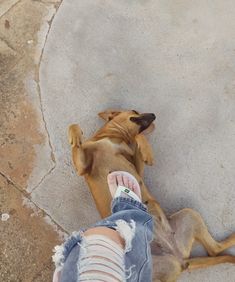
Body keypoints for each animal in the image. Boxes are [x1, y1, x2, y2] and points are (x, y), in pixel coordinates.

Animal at [68, 109, 235, 282]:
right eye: (135, 111)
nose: (154, 115)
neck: (114, 137)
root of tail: (179, 258)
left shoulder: (136, 165)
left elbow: (138, 142)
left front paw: (142, 142)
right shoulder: (83, 167)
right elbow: (73, 126)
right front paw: (75, 137)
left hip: (190, 214)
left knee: (215, 249)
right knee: (214, 251)